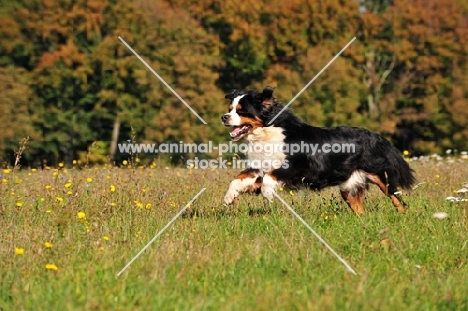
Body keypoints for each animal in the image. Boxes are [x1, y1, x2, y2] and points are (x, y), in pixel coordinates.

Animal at [221, 86, 414, 216]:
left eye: (242, 111)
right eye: (230, 109)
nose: (224, 117)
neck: (267, 132)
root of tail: (379, 137)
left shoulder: (296, 167)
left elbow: (269, 178)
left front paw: (268, 195)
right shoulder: (259, 166)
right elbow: (238, 179)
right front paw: (229, 197)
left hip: (382, 177)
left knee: (398, 200)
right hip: (349, 187)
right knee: (360, 210)